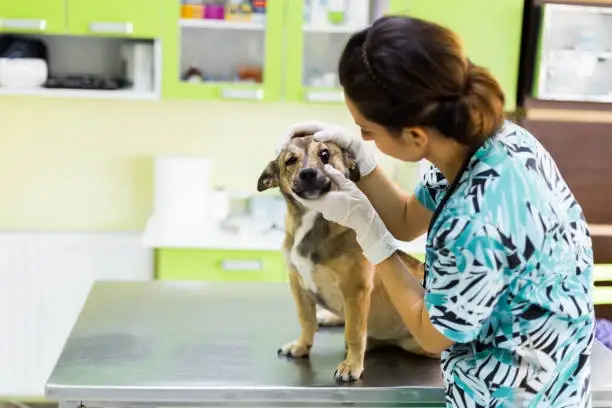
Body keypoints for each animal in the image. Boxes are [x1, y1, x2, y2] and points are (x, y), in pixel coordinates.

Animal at [256, 134, 438, 382]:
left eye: (325, 154)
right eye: (290, 161)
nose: (308, 173)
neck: (311, 220)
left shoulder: (355, 289)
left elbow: (354, 332)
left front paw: (351, 365)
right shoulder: (297, 283)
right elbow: (306, 320)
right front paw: (302, 345)